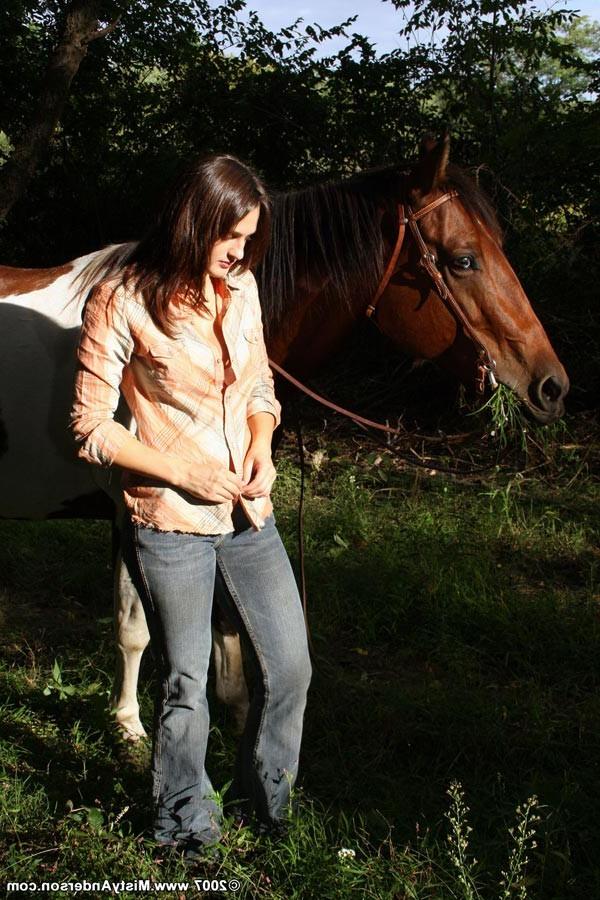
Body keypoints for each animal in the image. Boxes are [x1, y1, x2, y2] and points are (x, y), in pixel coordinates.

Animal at [0, 136, 568, 740]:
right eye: (463, 259)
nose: (551, 385)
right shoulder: (129, 512)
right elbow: (135, 627)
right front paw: (128, 722)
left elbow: (224, 617)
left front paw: (235, 704)